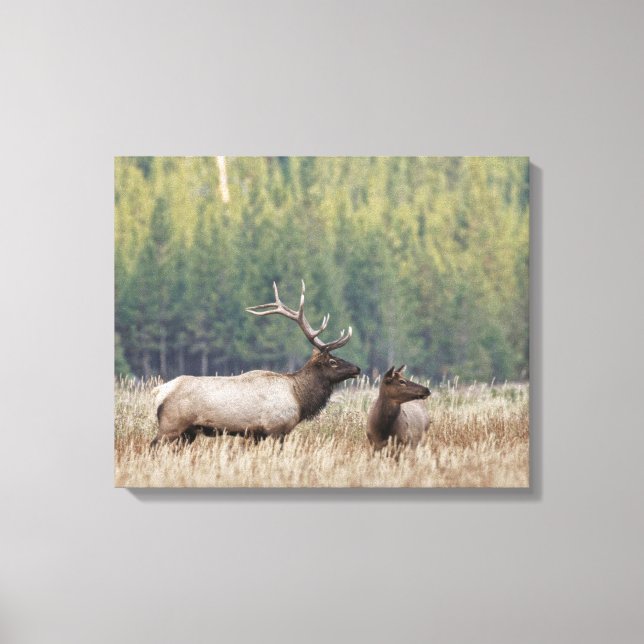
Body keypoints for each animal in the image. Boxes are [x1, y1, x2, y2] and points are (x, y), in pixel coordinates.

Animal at [150, 281, 360, 447]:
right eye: (333, 361)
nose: (357, 368)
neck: (299, 398)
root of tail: (159, 392)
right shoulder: (276, 429)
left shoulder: (256, 434)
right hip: (171, 425)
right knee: (153, 445)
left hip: (188, 432)